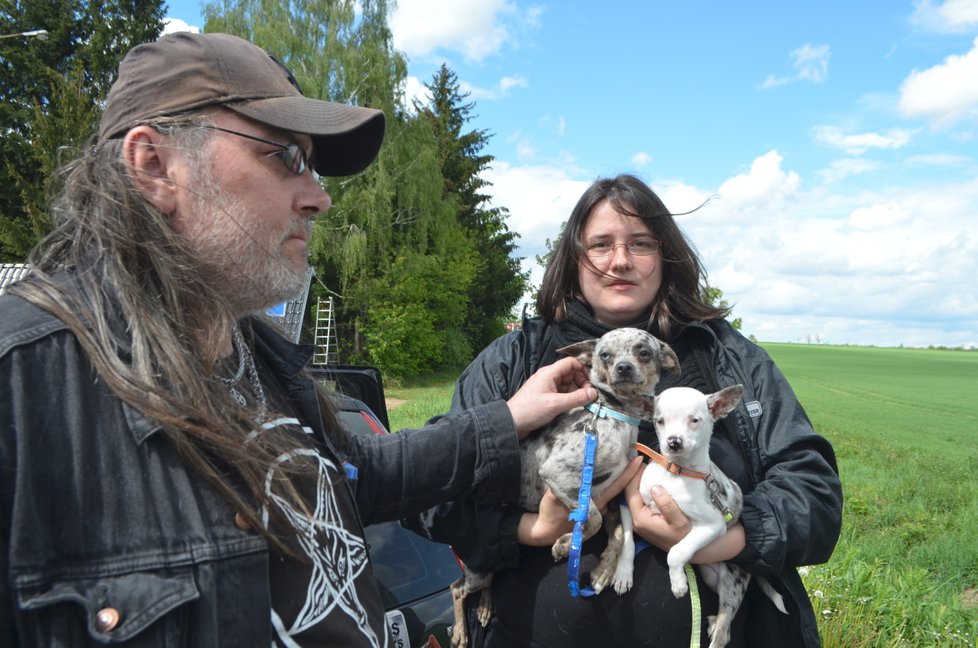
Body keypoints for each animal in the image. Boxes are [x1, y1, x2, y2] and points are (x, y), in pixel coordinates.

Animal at [450, 330, 680, 648]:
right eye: (605, 355)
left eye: (644, 352)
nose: (623, 368)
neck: (615, 415)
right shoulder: (561, 477)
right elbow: (591, 519)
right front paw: (564, 543)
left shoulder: (609, 496)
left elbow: (618, 533)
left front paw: (603, 571)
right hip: (479, 570)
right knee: (456, 588)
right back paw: (461, 630)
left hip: (493, 566)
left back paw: (485, 607)